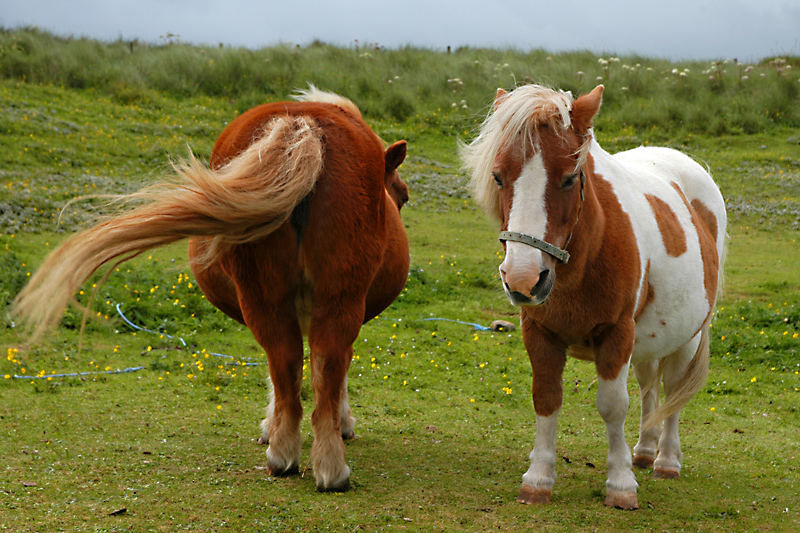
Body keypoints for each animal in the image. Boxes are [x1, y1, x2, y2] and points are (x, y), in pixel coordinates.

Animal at [12, 86, 410, 490]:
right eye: (404, 196)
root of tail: (305, 125)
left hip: (289, 298)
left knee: (293, 362)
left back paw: (299, 459)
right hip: (323, 300)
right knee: (309, 366)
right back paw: (318, 464)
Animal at [460, 85, 728, 510]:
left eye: (570, 178)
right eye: (498, 176)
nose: (523, 278)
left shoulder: (616, 334)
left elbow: (613, 406)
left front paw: (620, 484)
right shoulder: (540, 334)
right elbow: (546, 397)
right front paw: (538, 479)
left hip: (686, 338)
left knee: (673, 390)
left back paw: (667, 461)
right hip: (648, 339)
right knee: (650, 386)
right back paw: (644, 452)